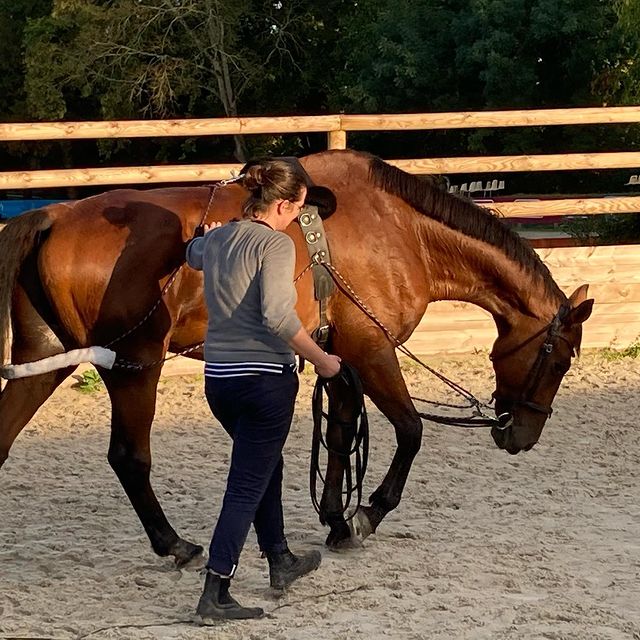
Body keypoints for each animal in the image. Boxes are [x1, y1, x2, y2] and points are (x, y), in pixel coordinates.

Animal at [0, 148, 592, 564]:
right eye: (560, 361)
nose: (521, 436)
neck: (401, 231)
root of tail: (54, 216)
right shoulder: (371, 350)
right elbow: (409, 431)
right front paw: (367, 513)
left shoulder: (339, 359)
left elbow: (340, 434)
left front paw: (337, 518)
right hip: (132, 366)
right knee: (129, 457)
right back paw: (174, 544)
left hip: (47, 360)